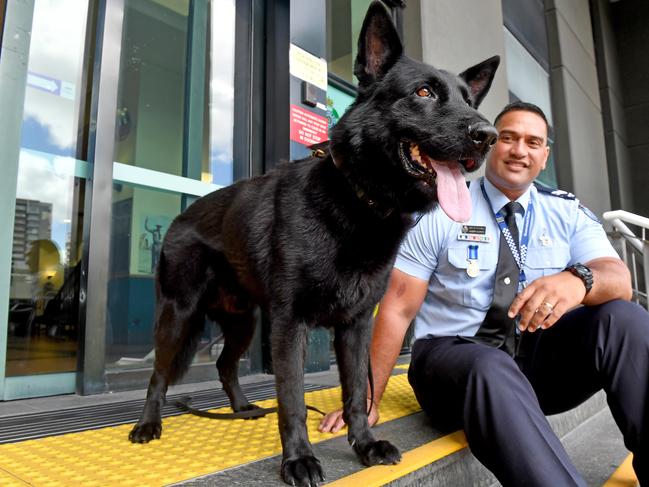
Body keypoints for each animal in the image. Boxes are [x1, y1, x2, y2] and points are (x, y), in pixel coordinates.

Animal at [129, 1, 498, 486]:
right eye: (423, 93)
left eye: (468, 102)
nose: (488, 135)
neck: (359, 201)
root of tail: (182, 215)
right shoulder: (291, 325)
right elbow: (291, 399)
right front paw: (299, 459)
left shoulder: (356, 326)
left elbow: (357, 391)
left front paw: (364, 444)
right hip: (179, 315)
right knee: (158, 374)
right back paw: (148, 424)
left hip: (244, 322)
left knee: (226, 366)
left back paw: (242, 408)